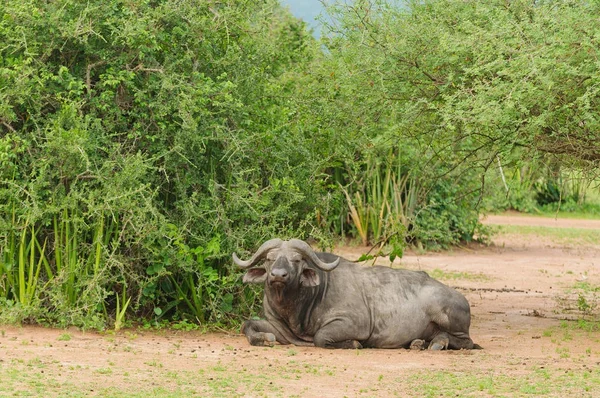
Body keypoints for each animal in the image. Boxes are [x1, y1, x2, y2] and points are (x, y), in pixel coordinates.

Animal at [232, 238, 480, 350]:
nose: (278, 275)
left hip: (448, 317)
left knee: (466, 341)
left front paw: (353, 343)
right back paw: (419, 343)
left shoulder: (354, 323)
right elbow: (247, 325)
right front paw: (263, 338)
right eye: (270, 259)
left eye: (297, 260)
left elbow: (321, 337)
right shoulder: (280, 329)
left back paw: (437, 343)